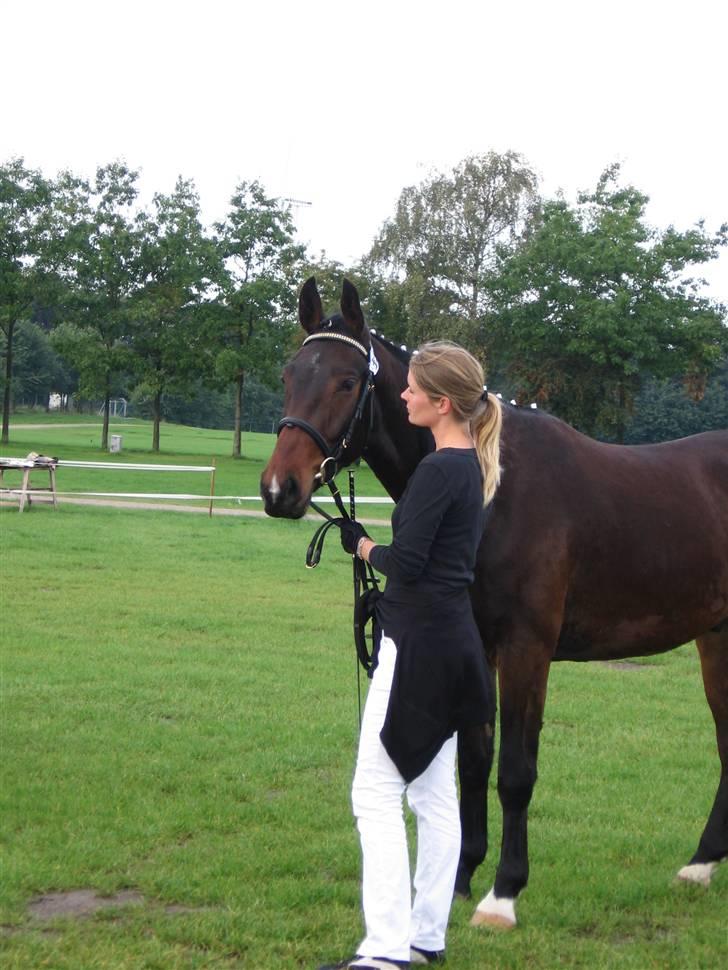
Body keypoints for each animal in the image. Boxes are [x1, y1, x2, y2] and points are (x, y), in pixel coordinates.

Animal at [260, 276, 728, 928]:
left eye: (348, 381)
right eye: (288, 374)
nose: (280, 490)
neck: (491, 488)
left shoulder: (527, 650)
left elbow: (515, 772)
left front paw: (504, 893)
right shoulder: (477, 645)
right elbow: (474, 760)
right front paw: (458, 878)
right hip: (716, 640)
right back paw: (701, 864)